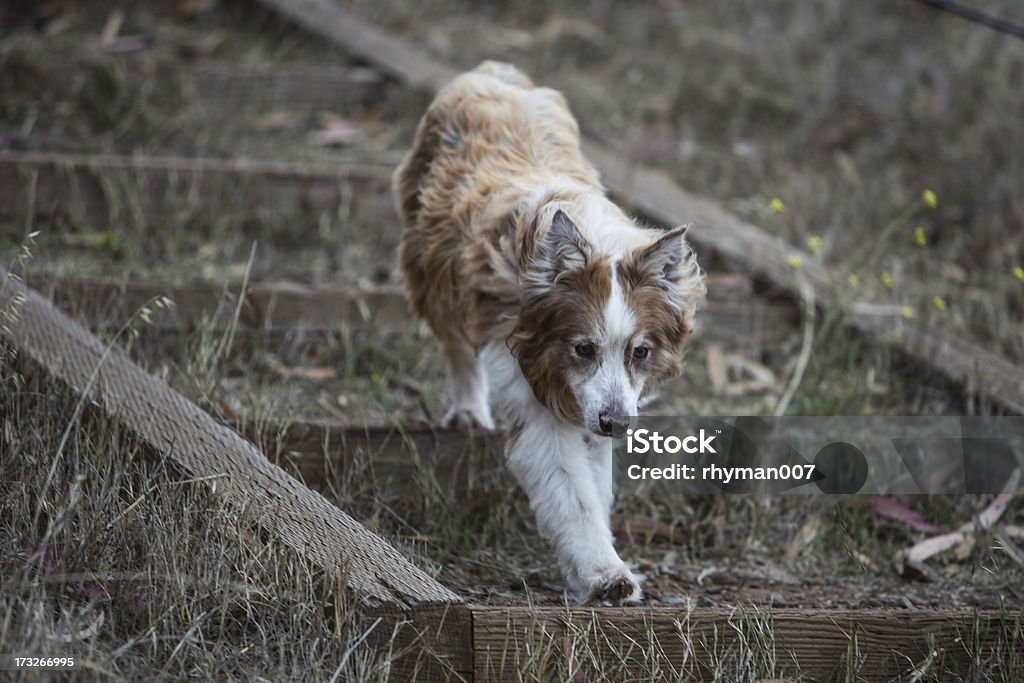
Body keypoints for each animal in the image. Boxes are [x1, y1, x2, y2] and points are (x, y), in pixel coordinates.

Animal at [391, 60, 704, 602]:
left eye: (641, 352)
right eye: (582, 348)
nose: (617, 425)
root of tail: (491, 72)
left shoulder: (595, 406)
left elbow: (593, 488)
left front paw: (593, 569)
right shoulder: (535, 397)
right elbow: (570, 491)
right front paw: (605, 575)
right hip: (430, 263)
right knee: (455, 341)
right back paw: (469, 410)